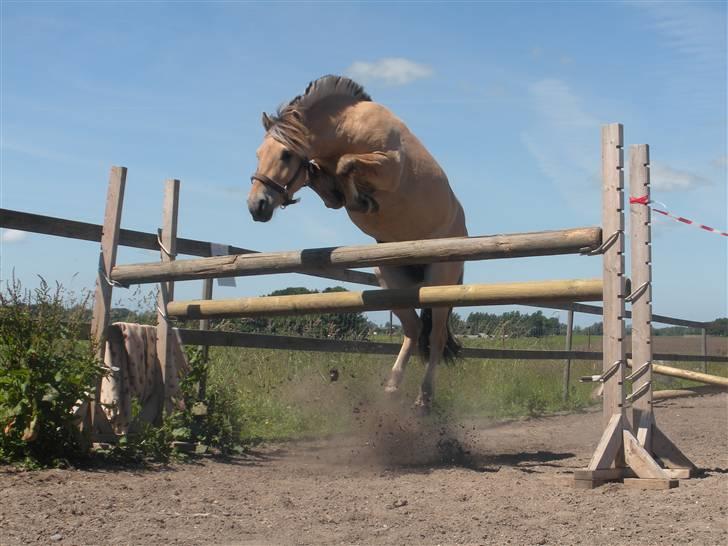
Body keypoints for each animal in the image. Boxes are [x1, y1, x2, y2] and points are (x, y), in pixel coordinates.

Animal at [249, 75, 466, 412]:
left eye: (285, 155)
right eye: (259, 154)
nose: (256, 206)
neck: (347, 129)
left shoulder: (388, 166)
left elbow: (346, 165)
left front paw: (361, 199)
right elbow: (324, 182)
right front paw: (346, 194)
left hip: (439, 282)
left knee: (437, 337)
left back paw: (423, 397)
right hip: (390, 280)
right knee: (414, 329)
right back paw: (391, 388)